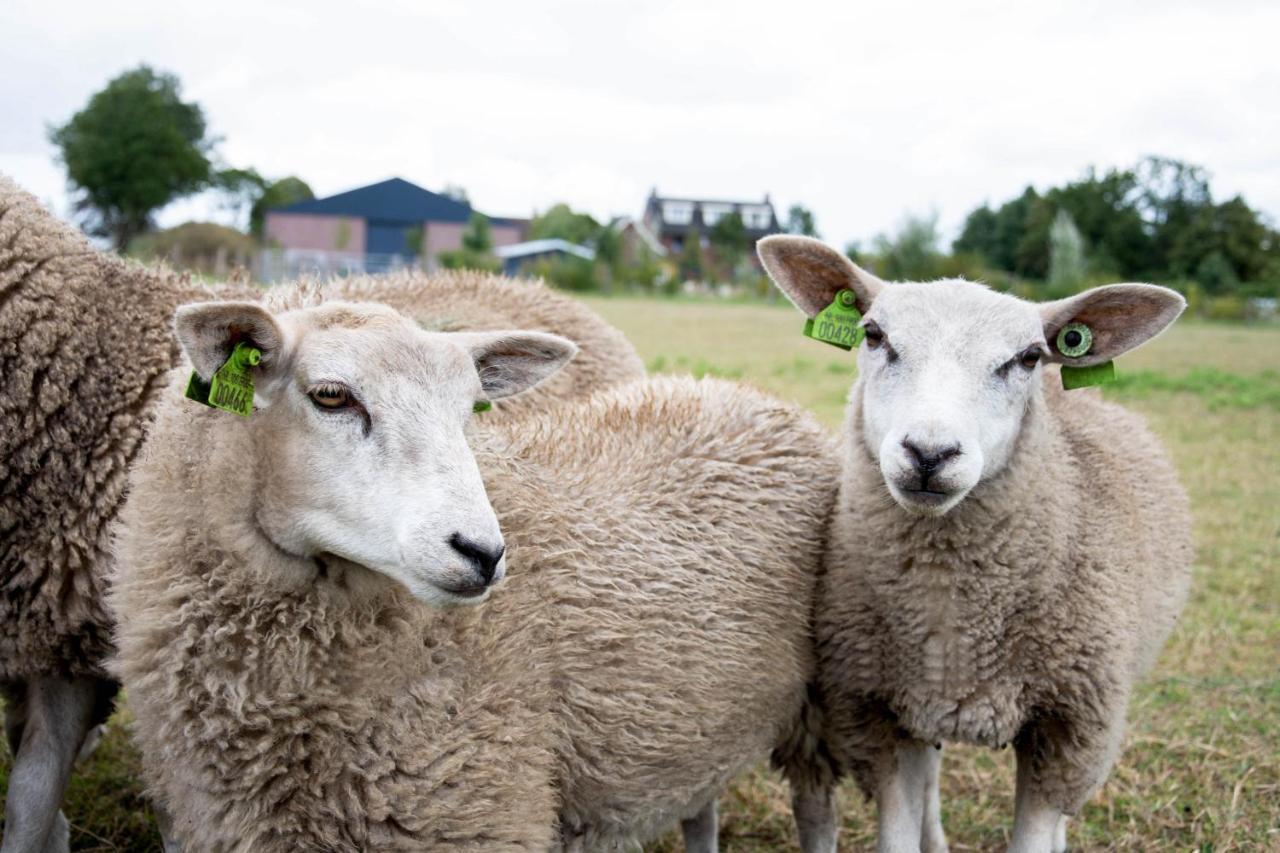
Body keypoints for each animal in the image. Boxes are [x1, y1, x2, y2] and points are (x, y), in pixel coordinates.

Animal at [0, 174, 640, 850]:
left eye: (471, 410)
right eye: (332, 396)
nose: (483, 552)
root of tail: (557, 297)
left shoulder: (71, 649)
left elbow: (35, 795)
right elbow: (34, 798)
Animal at [104, 294, 834, 850]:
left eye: (469, 411)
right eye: (331, 396)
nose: (483, 552)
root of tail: (743, 393)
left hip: (822, 704)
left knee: (816, 808)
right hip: (697, 728)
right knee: (700, 803)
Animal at [752, 234, 1192, 850]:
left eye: (1029, 357)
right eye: (873, 334)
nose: (930, 453)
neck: (954, 623)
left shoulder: (1070, 732)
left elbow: (1038, 829)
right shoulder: (878, 716)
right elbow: (899, 827)